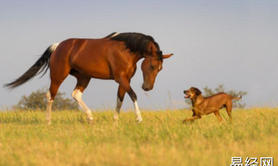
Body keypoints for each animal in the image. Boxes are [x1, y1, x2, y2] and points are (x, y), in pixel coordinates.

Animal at [5, 32, 173, 124]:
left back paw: (90, 118)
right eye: (152, 66)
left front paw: (115, 122)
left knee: (76, 94)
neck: (125, 50)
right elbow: (133, 95)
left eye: (160, 69)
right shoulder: (121, 79)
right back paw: (48, 121)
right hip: (58, 76)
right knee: (50, 95)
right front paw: (139, 119)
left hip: (84, 77)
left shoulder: (125, 80)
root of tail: (58, 46)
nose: (147, 87)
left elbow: (120, 99)